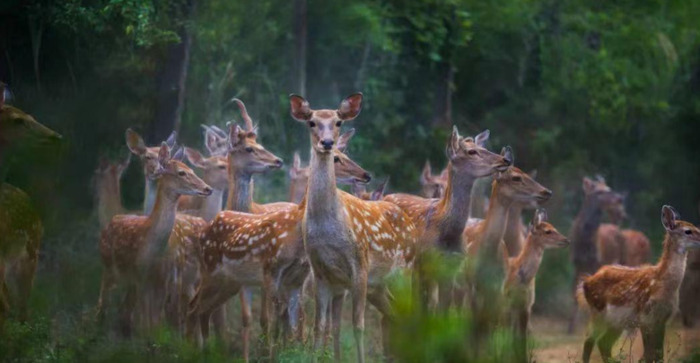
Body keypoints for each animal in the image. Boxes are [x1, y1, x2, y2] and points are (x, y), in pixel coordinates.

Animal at [96, 142, 211, 336]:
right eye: (181, 172)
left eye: (191, 169)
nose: (207, 188)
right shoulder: (142, 279)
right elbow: (147, 324)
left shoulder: (161, 281)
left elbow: (154, 324)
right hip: (109, 269)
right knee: (104, 306)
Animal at [382, 126, 508, 312]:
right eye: (471, 151)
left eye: (483, 147)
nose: (505, 159)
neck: (447, 231)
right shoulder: (425, 264)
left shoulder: (452, 269)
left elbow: (443, 309)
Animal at [504, 209, 568, 362]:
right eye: (547, 231)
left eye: (553, 227)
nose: (566, 240)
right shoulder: (508, 303)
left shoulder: (527, 305)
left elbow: (521, 339)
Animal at [576, 206, 700, 362]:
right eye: (688, 231)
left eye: (697, 227)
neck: (663, 284)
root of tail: (585, 282)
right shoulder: (646, 317)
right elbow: (649, 354)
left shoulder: (663, 319)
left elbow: (658, 353)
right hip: (598, 311)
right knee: (589, 340)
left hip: (615, 321)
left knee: (604, 343)